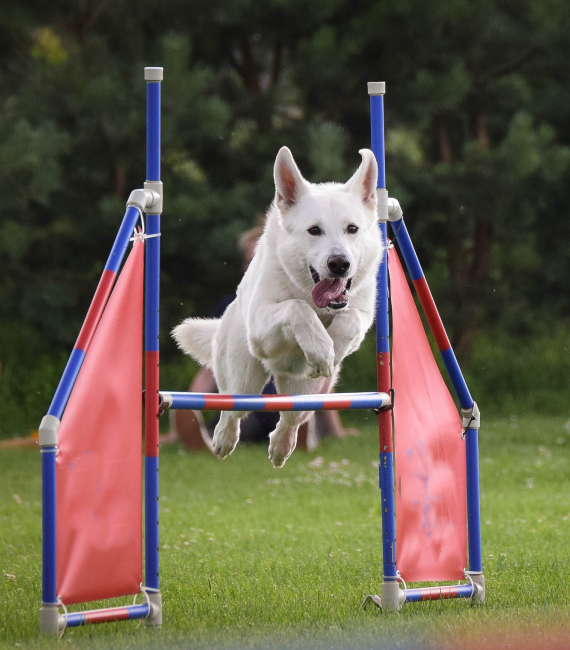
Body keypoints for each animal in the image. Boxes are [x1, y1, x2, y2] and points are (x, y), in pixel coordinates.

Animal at [172, 146, 382, 466]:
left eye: (352, 229)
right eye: (314, 230)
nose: (339, 264)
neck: (313, 296)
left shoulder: (359, 313)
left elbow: (350, 319)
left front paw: (332, 348)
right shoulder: (263, 329)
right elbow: (296, 307)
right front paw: (321, 347)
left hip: (309, 393)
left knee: (289, 418)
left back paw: (281, 446)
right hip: (243, 377)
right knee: (233, 410)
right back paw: (222, 440)